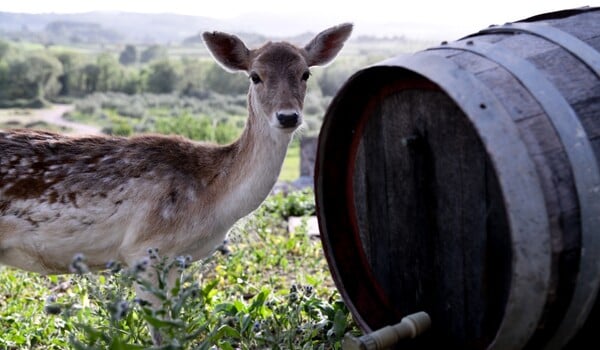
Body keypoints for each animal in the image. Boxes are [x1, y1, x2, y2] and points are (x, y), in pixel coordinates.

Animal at [0, 23, 354, 344]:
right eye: (255, 76)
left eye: (305, 74)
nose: (288, 116)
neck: (214, 202)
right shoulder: (144, 249)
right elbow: (163, 333)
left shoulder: (174, 261)